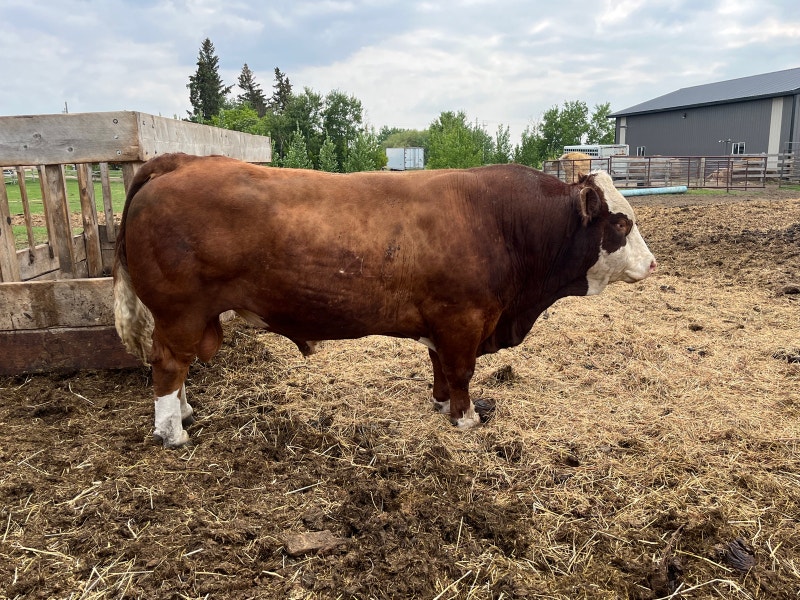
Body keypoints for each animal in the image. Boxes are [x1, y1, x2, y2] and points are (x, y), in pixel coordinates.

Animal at [113, 153, 656, 448]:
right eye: (620, 222)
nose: (652, 264)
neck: (505, 223)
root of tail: (181, 161)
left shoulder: (442, 323)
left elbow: (441, 368)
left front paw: (442, 404)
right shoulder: (463, 319)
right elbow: (461, 371)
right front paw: (466, 418)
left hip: (188, 316)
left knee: (179, 367)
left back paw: (184, 413)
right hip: (180, 312)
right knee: (168, 364)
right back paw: (173, 431)